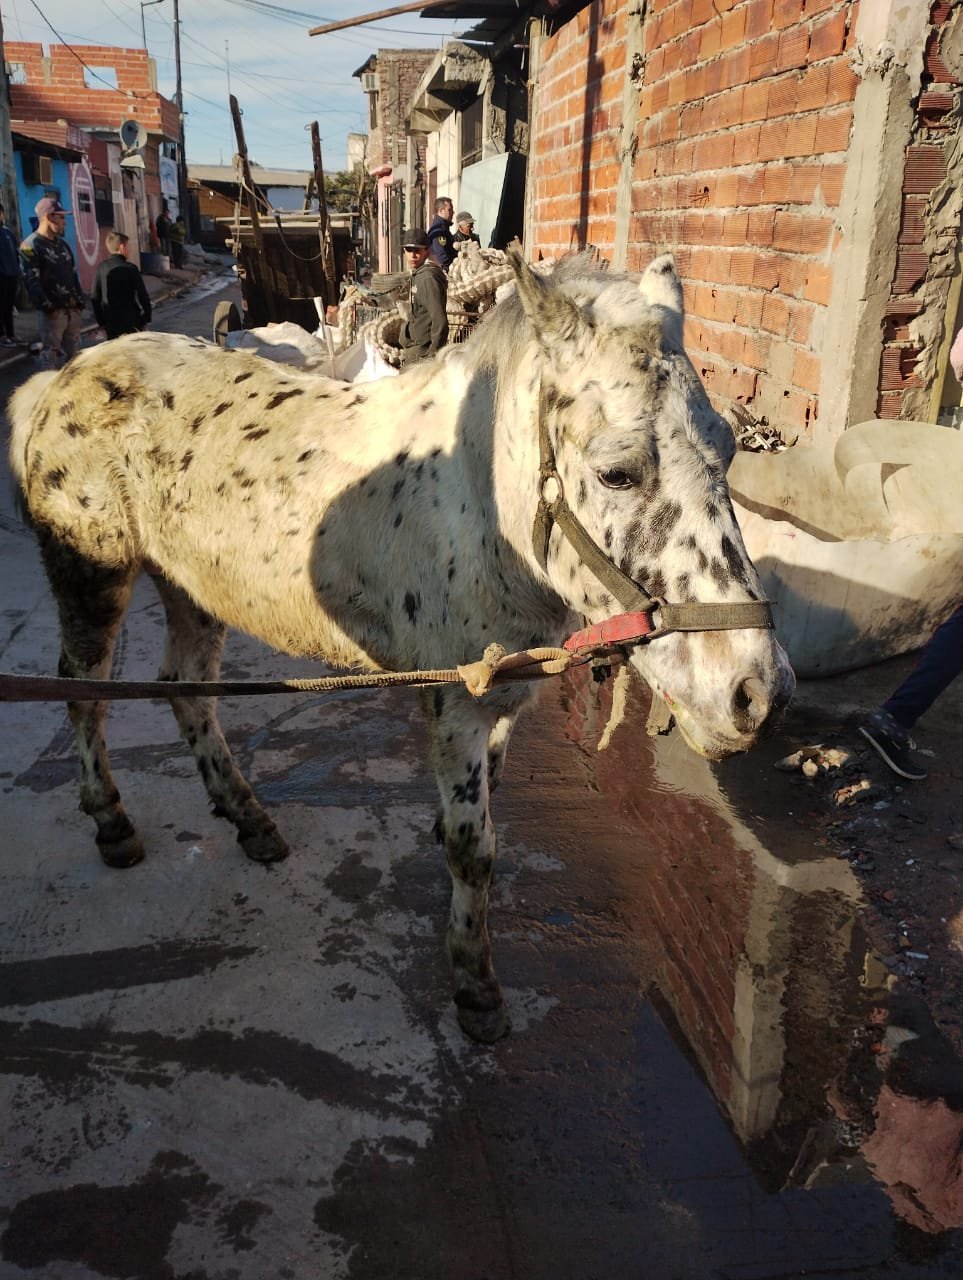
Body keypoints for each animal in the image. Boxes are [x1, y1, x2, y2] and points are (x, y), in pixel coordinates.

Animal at [7, 250, 794, 1042]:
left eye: (727, 451)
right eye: (616, 472)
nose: (754, 693)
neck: (479, 507)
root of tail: (62, 377)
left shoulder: (496, 696)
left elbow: (477, 818)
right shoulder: (455, 705)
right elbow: (473, 848)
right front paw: (475, 988)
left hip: (189, 585)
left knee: (186, 687)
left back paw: (249, 820)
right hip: (93, 575)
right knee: (84, 692)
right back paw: (113, 824)